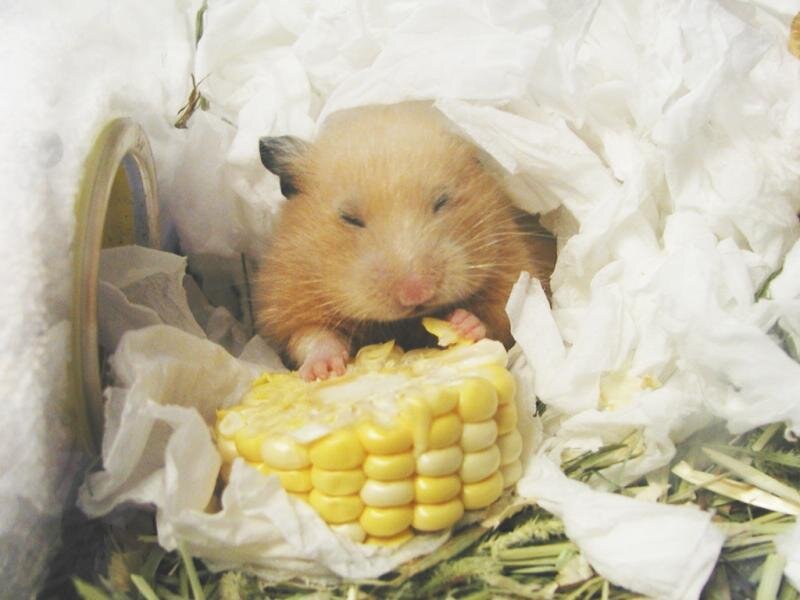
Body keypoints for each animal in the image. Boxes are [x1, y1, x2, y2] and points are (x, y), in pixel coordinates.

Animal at [255, 103, 554, 380]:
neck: (407, 321)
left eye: (442, 201)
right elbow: (310, 335)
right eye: (349, 218)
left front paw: (462, 323)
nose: (417, 294)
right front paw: (323, 372)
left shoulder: (512, 263)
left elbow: (500, 324)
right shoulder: (290, 298)